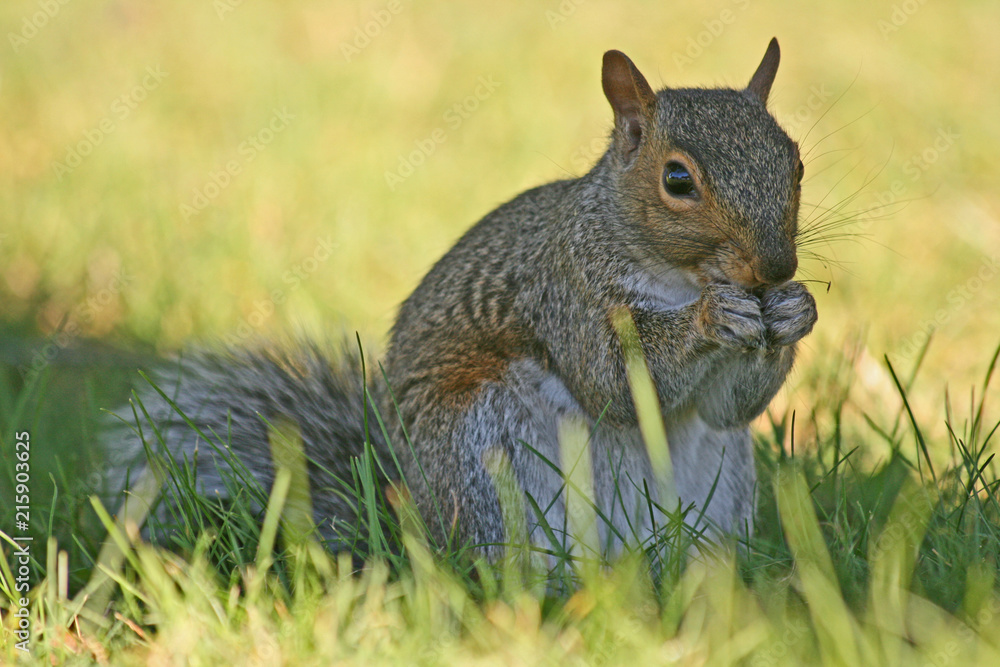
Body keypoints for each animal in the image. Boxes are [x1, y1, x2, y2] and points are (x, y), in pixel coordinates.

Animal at [106, 38, 816, 558]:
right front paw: (711, 318)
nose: (775, 268)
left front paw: (795, 311)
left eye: (797, 164)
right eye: (677, 179)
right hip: (485, 458)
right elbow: (615, 380)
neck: (680, 276)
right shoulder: (567, 293)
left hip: (721, 480)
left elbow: (727, 406)